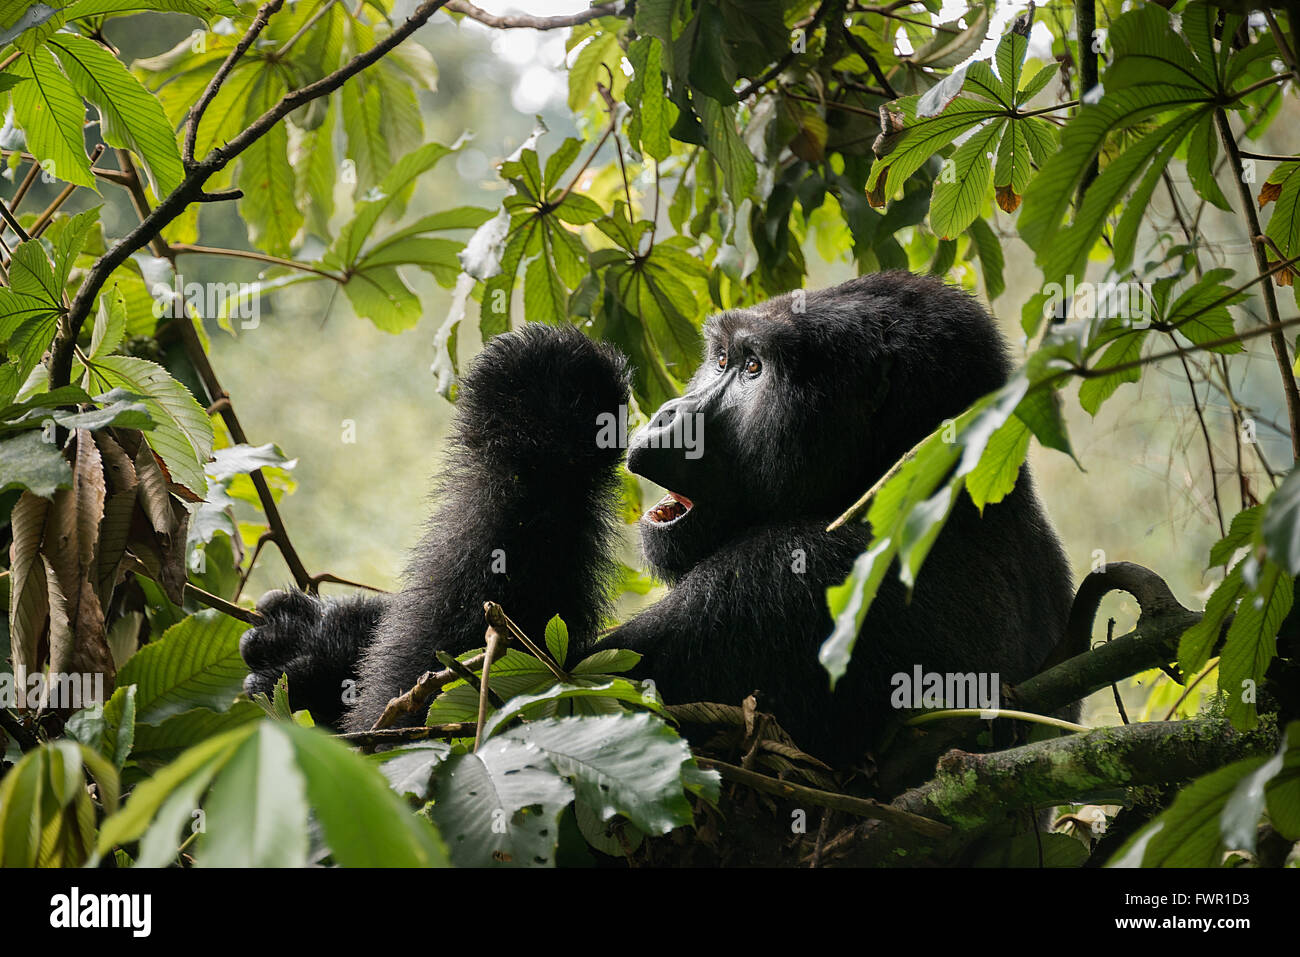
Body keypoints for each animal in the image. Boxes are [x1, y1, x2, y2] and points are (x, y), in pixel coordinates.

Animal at [244, 273, 1076, 764]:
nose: (676, 411)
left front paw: (543, 404)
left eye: (754, 369)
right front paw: (319, 639)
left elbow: (443, 725)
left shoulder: (794, 583)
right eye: (721, 358)